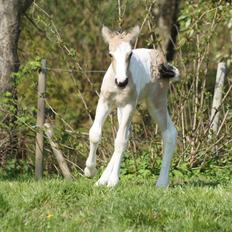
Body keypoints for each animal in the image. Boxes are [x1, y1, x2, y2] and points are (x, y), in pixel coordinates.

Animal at [84, 25, 180, 188]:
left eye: (130, 54)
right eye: (110, 54)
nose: (122, 82)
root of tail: (162, 61)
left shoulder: (130, 105)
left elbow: (120, 141)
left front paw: (113, 182)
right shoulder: (105, 102)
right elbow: (95, 134)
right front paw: (90, 171)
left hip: (155, 102)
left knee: (168, 133)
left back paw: (161, 183)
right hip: (121, 109)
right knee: (129, 134)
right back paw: (101, 180)